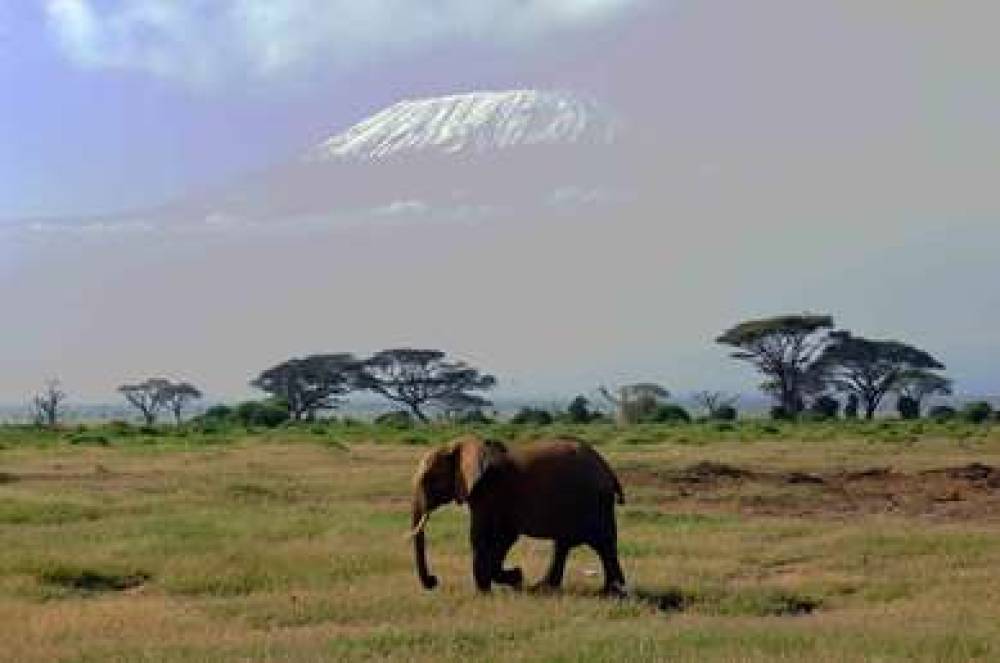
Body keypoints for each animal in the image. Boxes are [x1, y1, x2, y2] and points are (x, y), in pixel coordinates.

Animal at [406, 436, 624, 596]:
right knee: (568, 544)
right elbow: (504, 537)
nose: (434, 580)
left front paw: (491, 589)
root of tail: (608, 470)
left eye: (430, 479)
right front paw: (513, 578)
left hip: (593, 502)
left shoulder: (489, 491)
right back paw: (545, 588)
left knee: (602, 544)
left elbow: (482, 536)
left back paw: (612, 593)